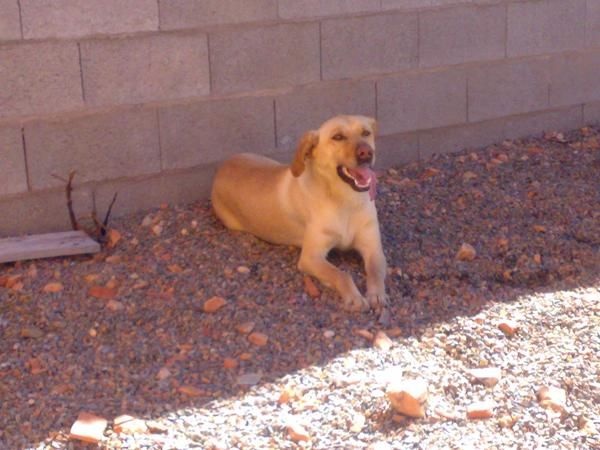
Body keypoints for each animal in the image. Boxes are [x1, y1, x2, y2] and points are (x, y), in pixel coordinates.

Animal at [213, 115, 386, 312]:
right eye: (338, 137)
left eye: (366, 132)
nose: (366, 152)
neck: (346, 201)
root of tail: (222, 167)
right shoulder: (311, 257)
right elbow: (340, 274)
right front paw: (354, 297)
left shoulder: (374, 249)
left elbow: (375, 270)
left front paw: (377, 294)